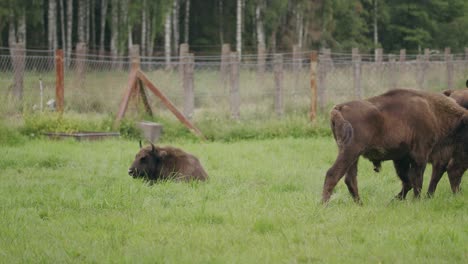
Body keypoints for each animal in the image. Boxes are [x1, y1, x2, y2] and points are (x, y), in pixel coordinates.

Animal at [324, 88, 468, 204]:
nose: (458, 193)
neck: (433, 111)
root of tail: (339, 108)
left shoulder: (401, 158)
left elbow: (408, 182)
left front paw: (394, 201)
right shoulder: (420, 155)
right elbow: (417, 180)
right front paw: (416, 201)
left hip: (353, 156)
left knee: (350, 179)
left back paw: (360, 204)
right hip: (350, 152)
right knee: (332, 174)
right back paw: (325, 205)